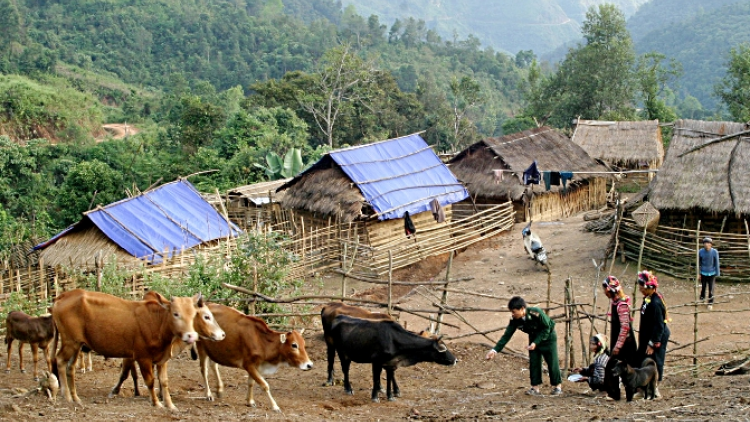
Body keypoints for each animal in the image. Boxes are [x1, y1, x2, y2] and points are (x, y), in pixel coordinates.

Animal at [51, 288, 223, 410]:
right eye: (175, 314)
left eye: (193, 314)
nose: (191, 336)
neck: (157, 322)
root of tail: (62, 296)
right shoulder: (142, 357)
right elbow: (149, 381)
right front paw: (156, 403)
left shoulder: (162, 359)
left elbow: (164, 382)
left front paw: (170, 405)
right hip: (70, 342)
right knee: (59, 361)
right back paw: (66, 396)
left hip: (77, 344)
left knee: (70, 368)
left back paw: (75, 398)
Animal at [330, 314, 458, 400]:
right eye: (443, 349)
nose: (455, 360)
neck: (394, 339)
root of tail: (338, 317)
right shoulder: (376, 361)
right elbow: (376, 378)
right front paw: (375, 396)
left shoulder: (391, 363)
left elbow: (389, 378)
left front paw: (390, 395)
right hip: (342, 353)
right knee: (345, 370)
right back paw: (348, 389)